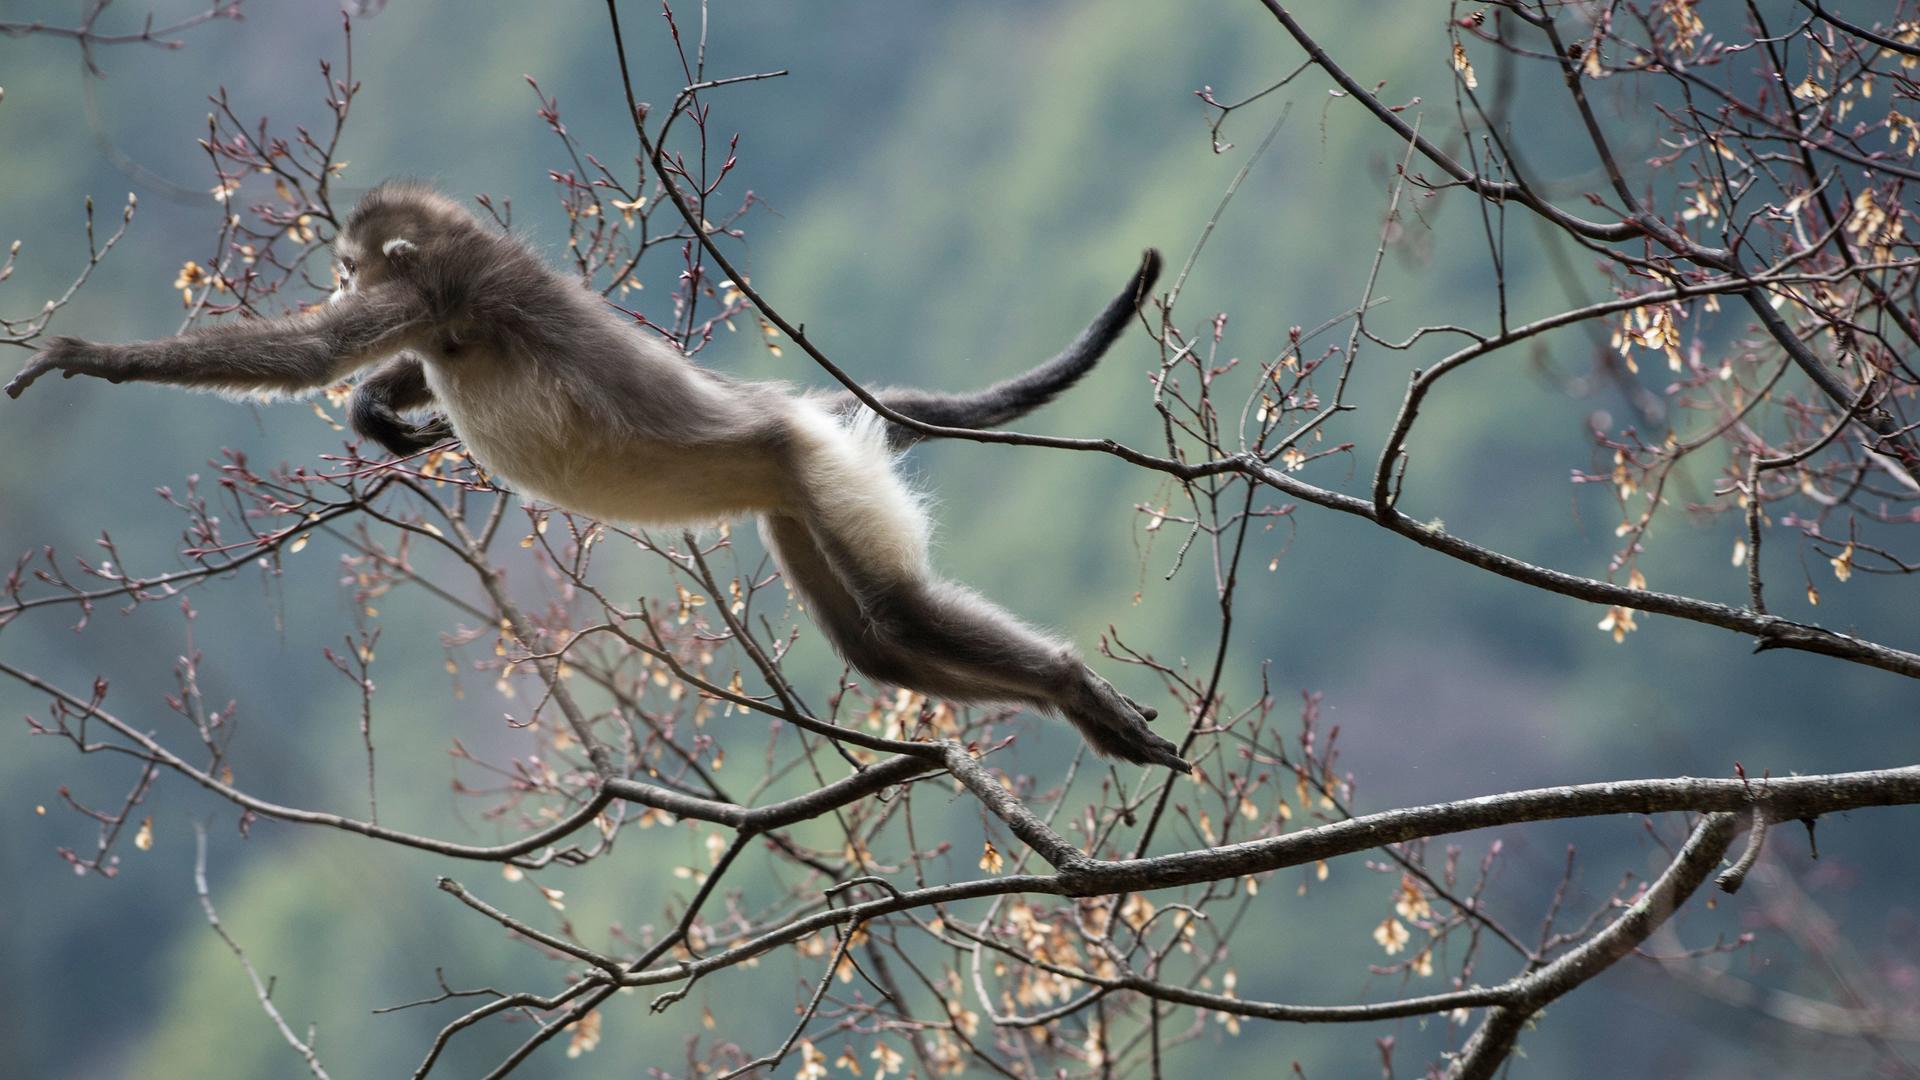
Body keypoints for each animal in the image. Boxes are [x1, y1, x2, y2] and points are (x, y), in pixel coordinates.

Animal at [6, 180, 1188, 771]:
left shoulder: (442, 293)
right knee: (880, 645)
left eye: (343, 268)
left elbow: (306, 357)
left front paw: (88, 357)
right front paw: (376, 407)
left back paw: (1067, 685)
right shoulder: (435, 306)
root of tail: (802, 412)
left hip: (811, 465)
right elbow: (357, 369)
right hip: (795, 488)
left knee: (896, 614)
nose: (334, 279)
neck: (458, 274)